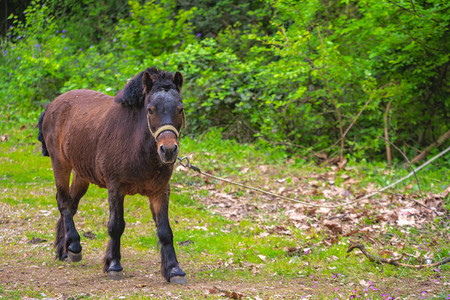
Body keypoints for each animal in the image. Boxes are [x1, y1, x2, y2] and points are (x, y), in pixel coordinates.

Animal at [37, 66, 186, 284]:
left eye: (180, 109)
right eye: (150, 109)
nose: (168, 150)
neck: (135, 143)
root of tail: (53, 104)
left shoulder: (160, 191)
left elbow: (165, 230)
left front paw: (174, 270)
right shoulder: (116, 187)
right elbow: (116, 226)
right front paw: (114, 265)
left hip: (82, 174)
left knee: (71, 204)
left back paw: (63, 249)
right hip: (60, 164)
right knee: (63, 202)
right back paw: (73, 246)